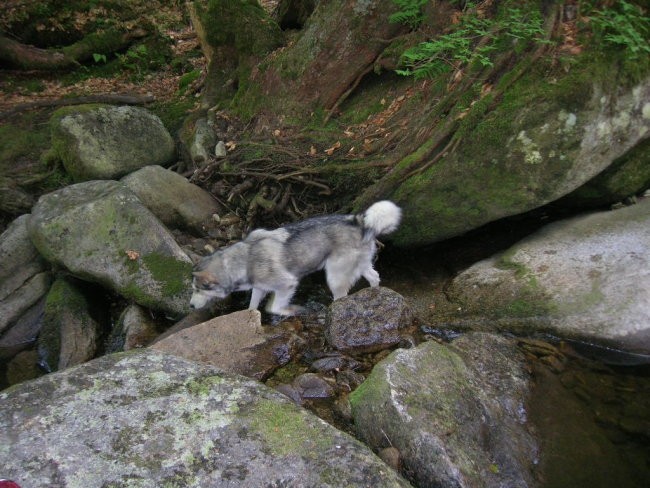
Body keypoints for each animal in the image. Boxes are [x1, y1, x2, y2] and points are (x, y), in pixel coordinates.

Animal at [187, 200, 400, 314]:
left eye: (198, 290)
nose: (190, 305)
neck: (244, 260)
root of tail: (358, 222)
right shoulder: (259, 288)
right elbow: (252, 307)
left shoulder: (287, 284)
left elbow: (273, 308)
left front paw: (290, 311)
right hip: (361, 265)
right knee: (375, 277)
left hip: (335, 276)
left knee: (341, 297)